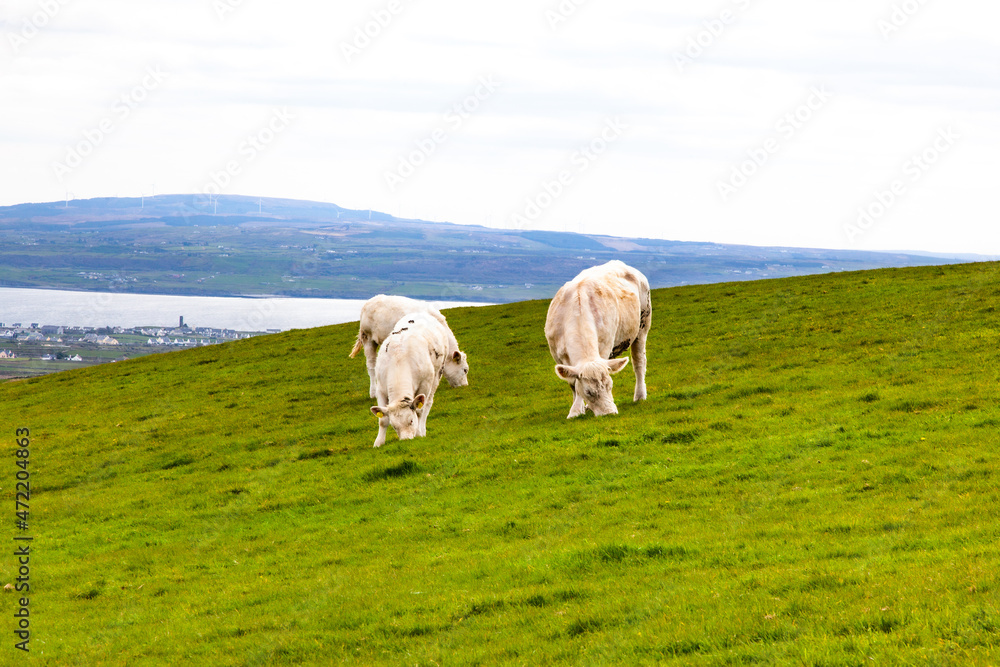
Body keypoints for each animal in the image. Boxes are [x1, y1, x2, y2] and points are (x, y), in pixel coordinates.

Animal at [369, 312, 451, 447]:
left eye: (411, 421)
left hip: (437, 375)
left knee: (428, 404)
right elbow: (382, 419)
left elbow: (420, 411)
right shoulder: (380, 388)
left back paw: (422, 429)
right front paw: (378, 442)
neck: (399, 361)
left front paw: (418, 434)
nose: (406, 439)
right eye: (394, 426)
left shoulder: (424, 384)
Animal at [544, 260, 651, 418]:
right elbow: (573, 384)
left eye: (610, 386)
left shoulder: (605, 348)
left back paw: (640, 395)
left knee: (639, 363)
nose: (610, 413)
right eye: (589, 392)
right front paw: (577, 410)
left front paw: (577, 409)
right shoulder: (558, 355)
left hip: (642, 327)